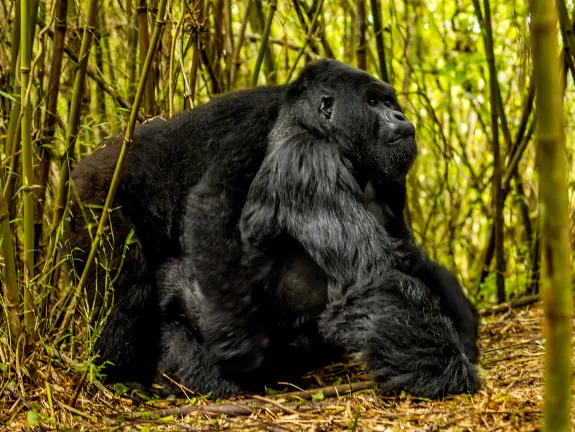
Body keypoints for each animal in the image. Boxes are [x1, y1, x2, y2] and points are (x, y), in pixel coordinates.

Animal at [68, 57, 482, 398]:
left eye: (390, 103)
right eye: (373, 103)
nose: (400, 118)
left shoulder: (387, 182)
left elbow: (407, 257)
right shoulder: (302, 158)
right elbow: (373, 277)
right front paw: (442, 372)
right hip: (96, 204)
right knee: (133, 287)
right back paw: (129, 374)